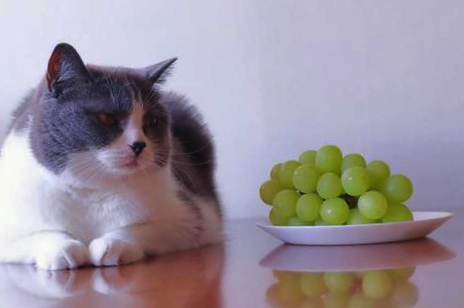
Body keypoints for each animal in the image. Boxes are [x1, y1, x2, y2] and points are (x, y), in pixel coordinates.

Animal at [0, 42, 223, 270]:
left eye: (151, 121)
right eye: (106, 118)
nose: (139, 145)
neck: (89, 188)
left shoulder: (191, 217)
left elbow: (142, 228)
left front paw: (111, 245)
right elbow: (43, 233)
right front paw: (64, 249)